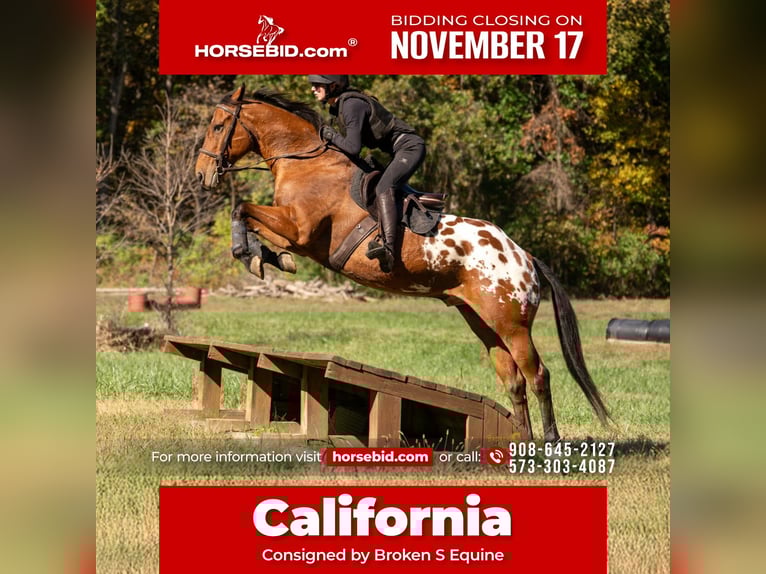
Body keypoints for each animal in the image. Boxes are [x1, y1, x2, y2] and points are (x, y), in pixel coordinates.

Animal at [195, 85, 611, 442]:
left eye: (217, 126)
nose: (202, 174)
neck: (307, 163)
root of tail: (524, 256)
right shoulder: (294, 235)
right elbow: (250, 219)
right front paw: (263, 257)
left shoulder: (299, 228)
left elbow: (243, 209)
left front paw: (250, 254)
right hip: (483, 322)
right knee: (513, 380)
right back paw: (521, 442)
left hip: (513, 325)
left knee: (538, 374)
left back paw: (550, 440)